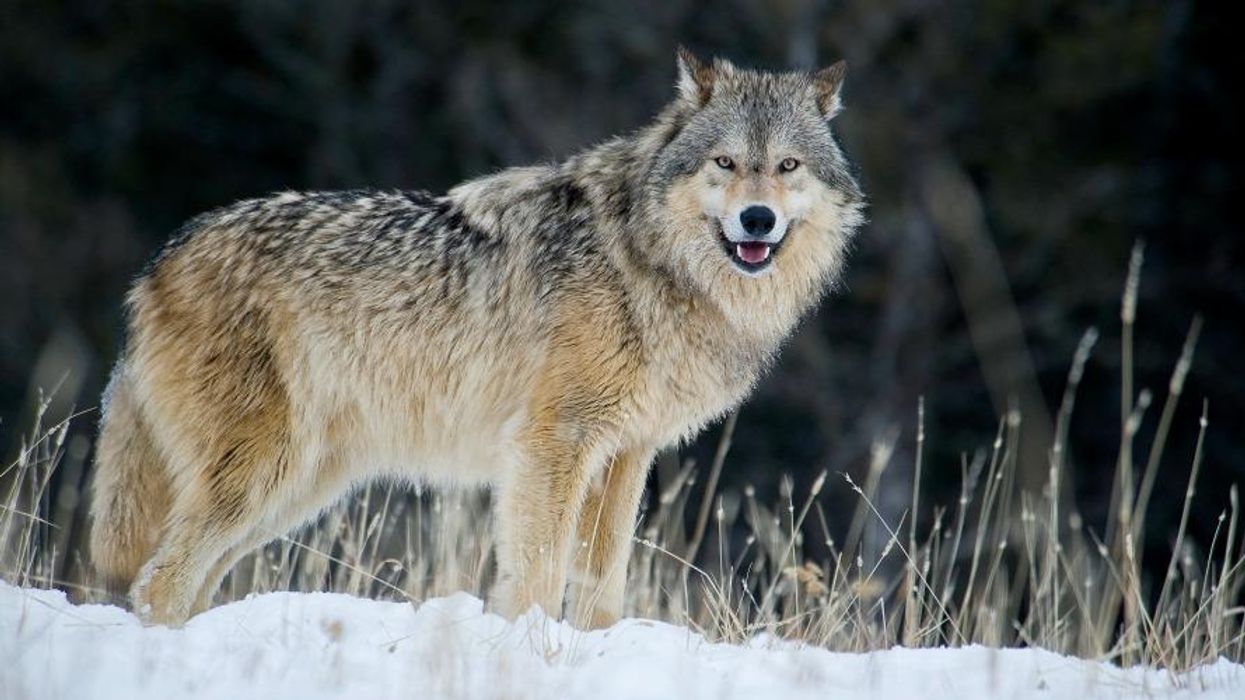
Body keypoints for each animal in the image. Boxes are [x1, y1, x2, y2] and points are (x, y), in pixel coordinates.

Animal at [89, 48, 864, 628]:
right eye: (725, 163)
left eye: (787, 166)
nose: (758, 219)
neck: (646, 262)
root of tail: (157, 263)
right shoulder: (552, 445)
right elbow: (537, 576)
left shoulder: (625, 455)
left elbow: (601, 586)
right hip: (263, 475)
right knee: (158, 581)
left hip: (296, 488)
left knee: (184, 581)